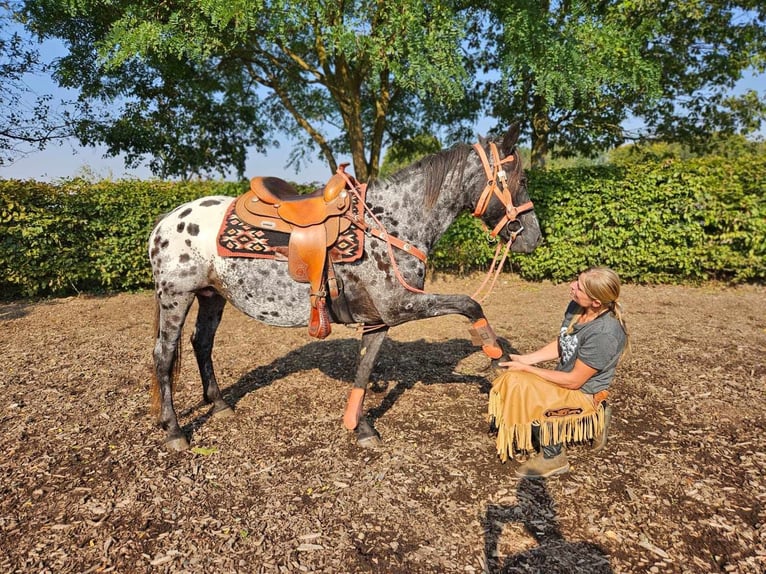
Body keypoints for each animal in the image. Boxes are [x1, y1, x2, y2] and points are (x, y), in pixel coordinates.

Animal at [150, 124, 544, 452]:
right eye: (521, 178)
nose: (535, 238)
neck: (391, 222)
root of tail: (165, 221)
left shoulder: (380, 317)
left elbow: (365, 367)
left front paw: (359, 426)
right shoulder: (400, 304)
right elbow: (469, 304)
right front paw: (498, 358)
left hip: (211, 296)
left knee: (202, 343)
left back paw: (219, 404)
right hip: (176, 297)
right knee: (164, 356)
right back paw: (174, 432)